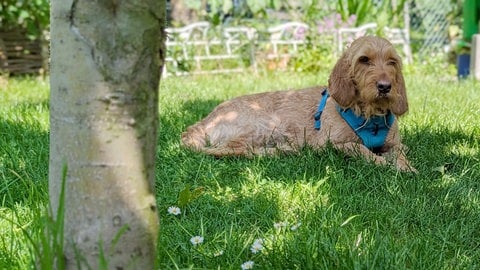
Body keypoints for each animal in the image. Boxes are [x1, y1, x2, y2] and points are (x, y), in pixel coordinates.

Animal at [182, 35, 414, 172]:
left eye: (392, 61)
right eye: (364, 59)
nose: (385, 87)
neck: (370, 116)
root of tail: (205, 120)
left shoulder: (395, 143)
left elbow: (400, 153)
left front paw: (405, 166)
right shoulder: (330, 143)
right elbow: (360, 149)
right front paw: (386, 164)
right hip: (264, 124)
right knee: (230, 150)